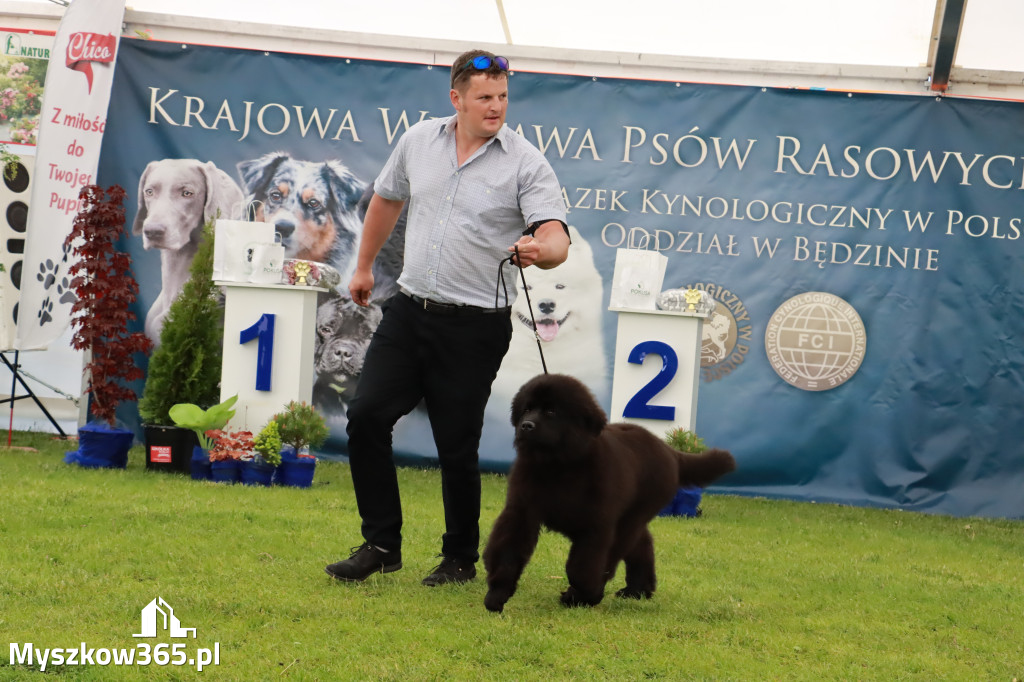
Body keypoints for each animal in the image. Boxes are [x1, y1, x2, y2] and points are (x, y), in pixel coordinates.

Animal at [481, 372, 737, 610]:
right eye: (527, 409)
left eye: (551, 411)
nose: (526, 425)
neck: (560, 467)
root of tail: (669, 451)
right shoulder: (521, 511)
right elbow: (508, 549)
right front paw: (498, 593)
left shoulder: (596, 525)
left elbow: (582, 567)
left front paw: (581, 596)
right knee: (641, 544)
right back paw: (638, 590)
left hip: (633, 516)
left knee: (621, 550)